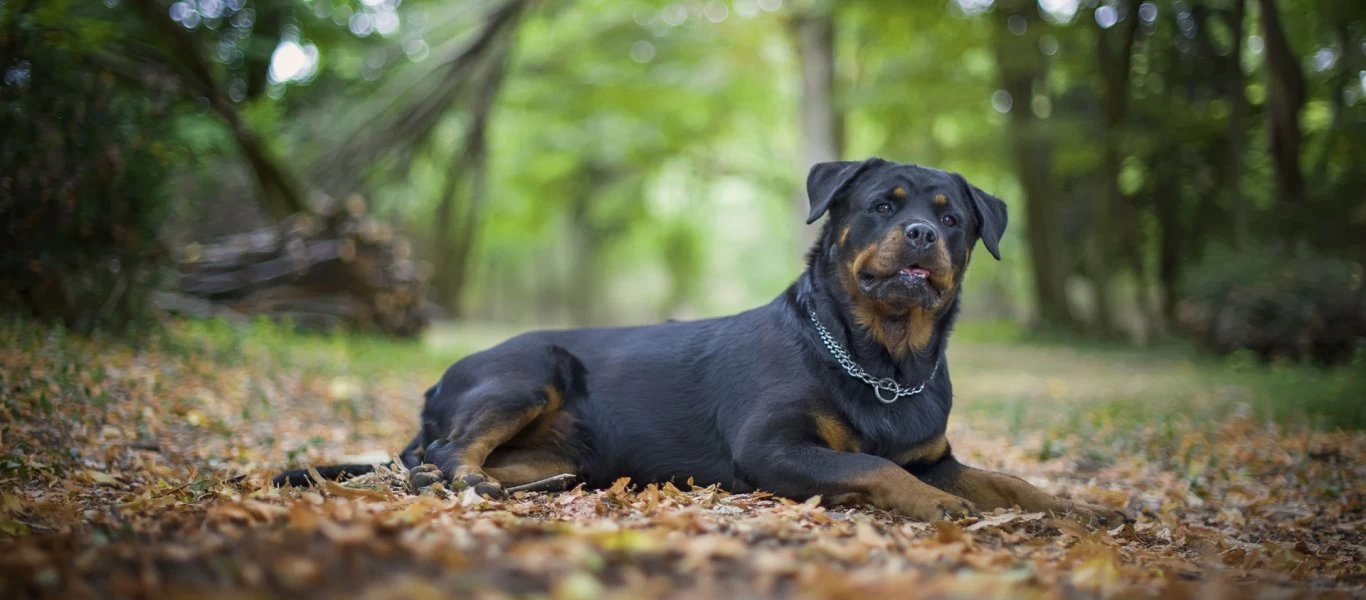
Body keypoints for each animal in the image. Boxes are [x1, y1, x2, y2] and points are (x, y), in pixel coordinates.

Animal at [274, 158, 1120, 524]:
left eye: (954, 219)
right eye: (885, 204)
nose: (921, 234)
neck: (882, 359)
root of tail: (433, 387)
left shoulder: (935, 454)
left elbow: (1005, 479)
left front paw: (1079, 505)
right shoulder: (773, 447)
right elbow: (874, 466)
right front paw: (943, 509)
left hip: (562, 450)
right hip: (528, 370)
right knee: (444, 457)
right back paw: (471, 484)